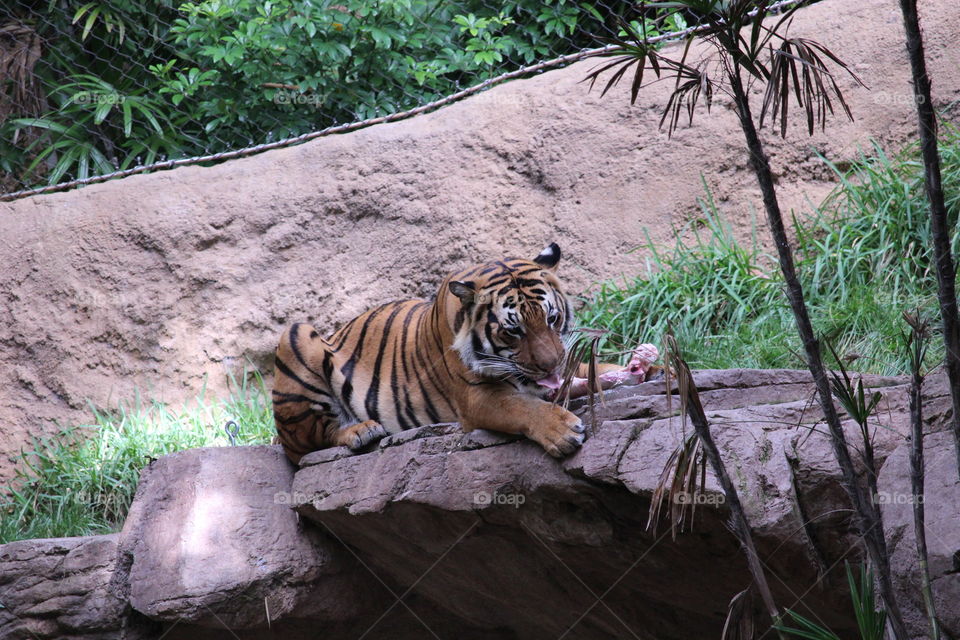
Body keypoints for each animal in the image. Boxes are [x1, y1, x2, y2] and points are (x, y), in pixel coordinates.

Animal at [271, 243, 659, 463]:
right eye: (513, 330)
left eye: (551, 318)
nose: (550, 366)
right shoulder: (476, 397)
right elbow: (521, 406)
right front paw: (561, 431)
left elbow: (591, 371)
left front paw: (649, 367)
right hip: (296, 335)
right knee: (303, 445)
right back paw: (359, 431)